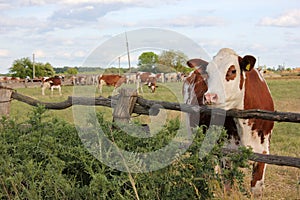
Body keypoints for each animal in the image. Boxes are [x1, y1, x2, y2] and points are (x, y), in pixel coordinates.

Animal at [204, 48, 274, 197]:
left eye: (232, 71)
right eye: (208, 72)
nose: (209, 97)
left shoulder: (263, 152)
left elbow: (256, 189)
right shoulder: (226, 153)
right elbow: (227, 187)